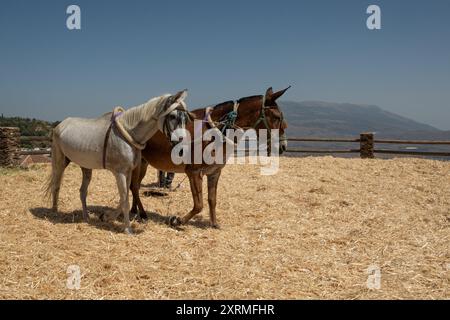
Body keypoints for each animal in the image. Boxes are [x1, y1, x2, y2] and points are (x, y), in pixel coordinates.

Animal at [46, 89, 191, 234]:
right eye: (172, 116)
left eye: (185, 118)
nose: (183, 146)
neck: (128, 133)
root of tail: (60, 125)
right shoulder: (120, 173)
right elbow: (125, 199)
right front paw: (127, 229)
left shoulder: (128, 172)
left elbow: (124, 197)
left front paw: (106, 216)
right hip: (60, 161)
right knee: (56, 185)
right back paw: (55, 212)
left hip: (85, 167)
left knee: (82, 191)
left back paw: (86, 216)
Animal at [130, 86, 290, 229]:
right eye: (277, 117)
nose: (283, 146)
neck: (216, 131)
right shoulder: (194, 173)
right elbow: (199, 205)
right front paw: (178, 220)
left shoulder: (214, 172)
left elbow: (212, 200)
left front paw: (214, 223)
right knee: (134, 187)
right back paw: (141, 214)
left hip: (143, 163)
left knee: (134, 187)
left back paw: (134, 211)